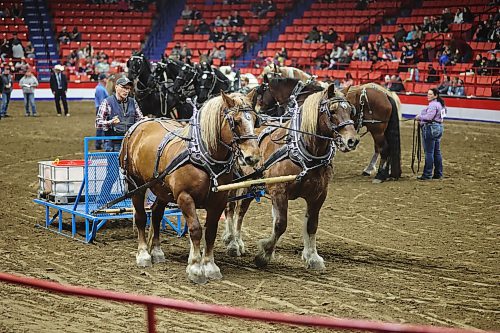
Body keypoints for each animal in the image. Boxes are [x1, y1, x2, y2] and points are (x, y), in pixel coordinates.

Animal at [120, 91, 262, 282]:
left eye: (254, 119)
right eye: (236, 121)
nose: (253, 157)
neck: (203, 157)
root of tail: (140, 124)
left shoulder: (219, 200)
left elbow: (211, 232)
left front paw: (210, 266)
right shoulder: (185, 197)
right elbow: (195, 229)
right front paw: (195, 267)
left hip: (162, 189)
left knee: (156, 214)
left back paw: (156, 251)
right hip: (136, 184)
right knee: (141, 217)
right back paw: (143, 254)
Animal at [224, 84, 360, 268]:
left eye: (351, 111)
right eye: (332, 111)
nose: (352, 140)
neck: (303, 153)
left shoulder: (319, 195)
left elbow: (311, 225)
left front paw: (312, 256)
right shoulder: (279, 190)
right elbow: (281, 224)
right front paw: (264, 253)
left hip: (253, 184)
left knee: (241, 210)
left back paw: (237, 241)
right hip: (236, 181)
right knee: (232, 208)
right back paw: (232, 242)